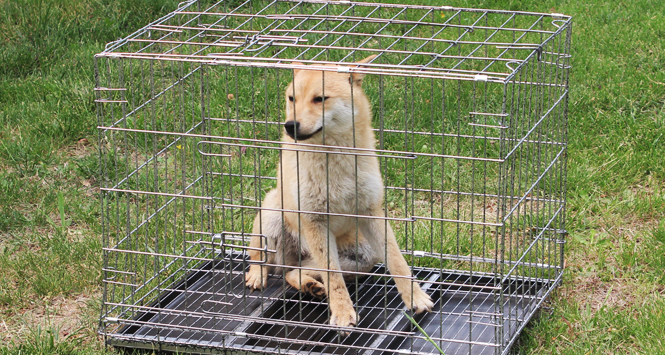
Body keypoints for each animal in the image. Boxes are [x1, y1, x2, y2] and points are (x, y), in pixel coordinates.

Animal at [246, 55, 434, 330]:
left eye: (319, 99)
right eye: (292, 98)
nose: (290, 126)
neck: (334, 160)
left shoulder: (371, 212)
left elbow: (398, 263)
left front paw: (416, 298)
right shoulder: (314, 220)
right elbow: (334, 279)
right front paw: (344, 314)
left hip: (363, 257)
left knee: (293, 272)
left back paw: (310, 286)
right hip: (272, 216)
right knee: (262, 261)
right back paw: (258, 277)